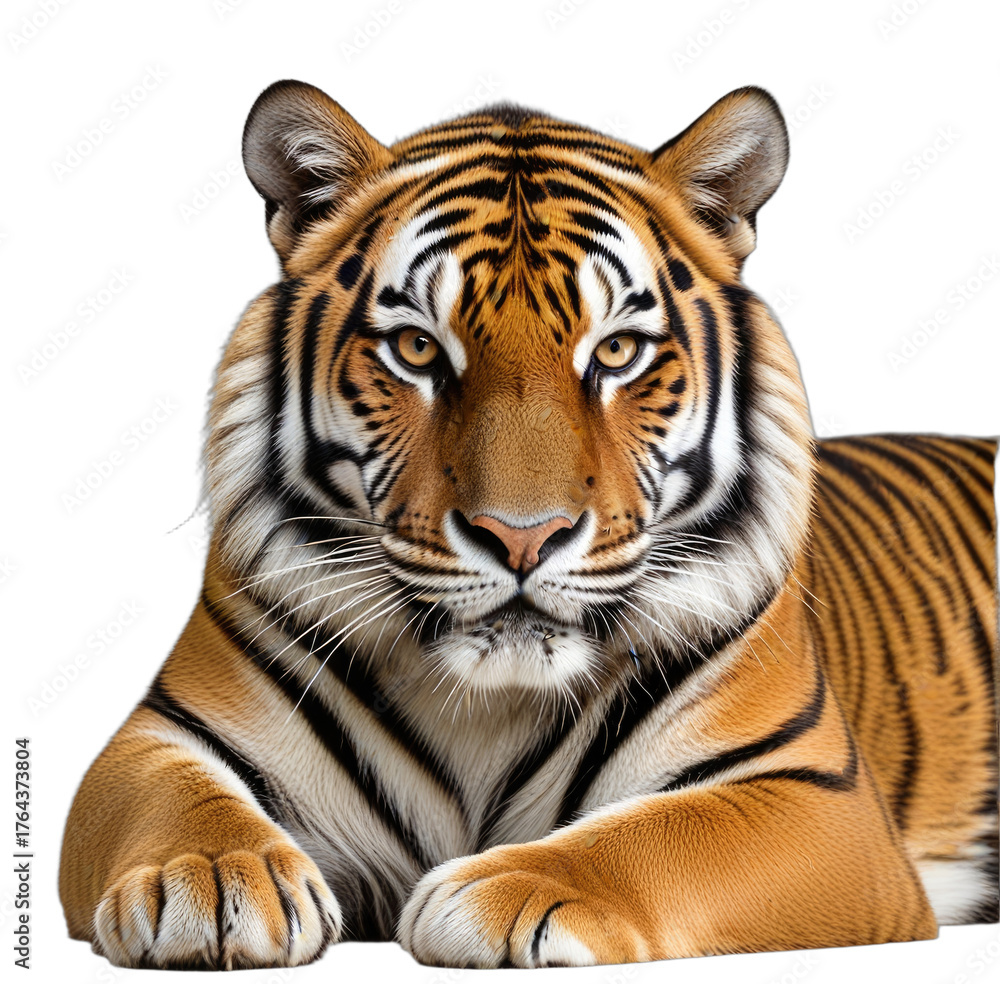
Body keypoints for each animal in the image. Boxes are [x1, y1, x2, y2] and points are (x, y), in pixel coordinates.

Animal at [59, 80, 998, 970]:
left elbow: (659, 835)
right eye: (418, 349)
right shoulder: (153, 735)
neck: (487, 704)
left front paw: (502, 889)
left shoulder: (815, 791)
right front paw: (210, 881)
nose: (521, 537)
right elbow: (178, 800)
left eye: (616, 352)